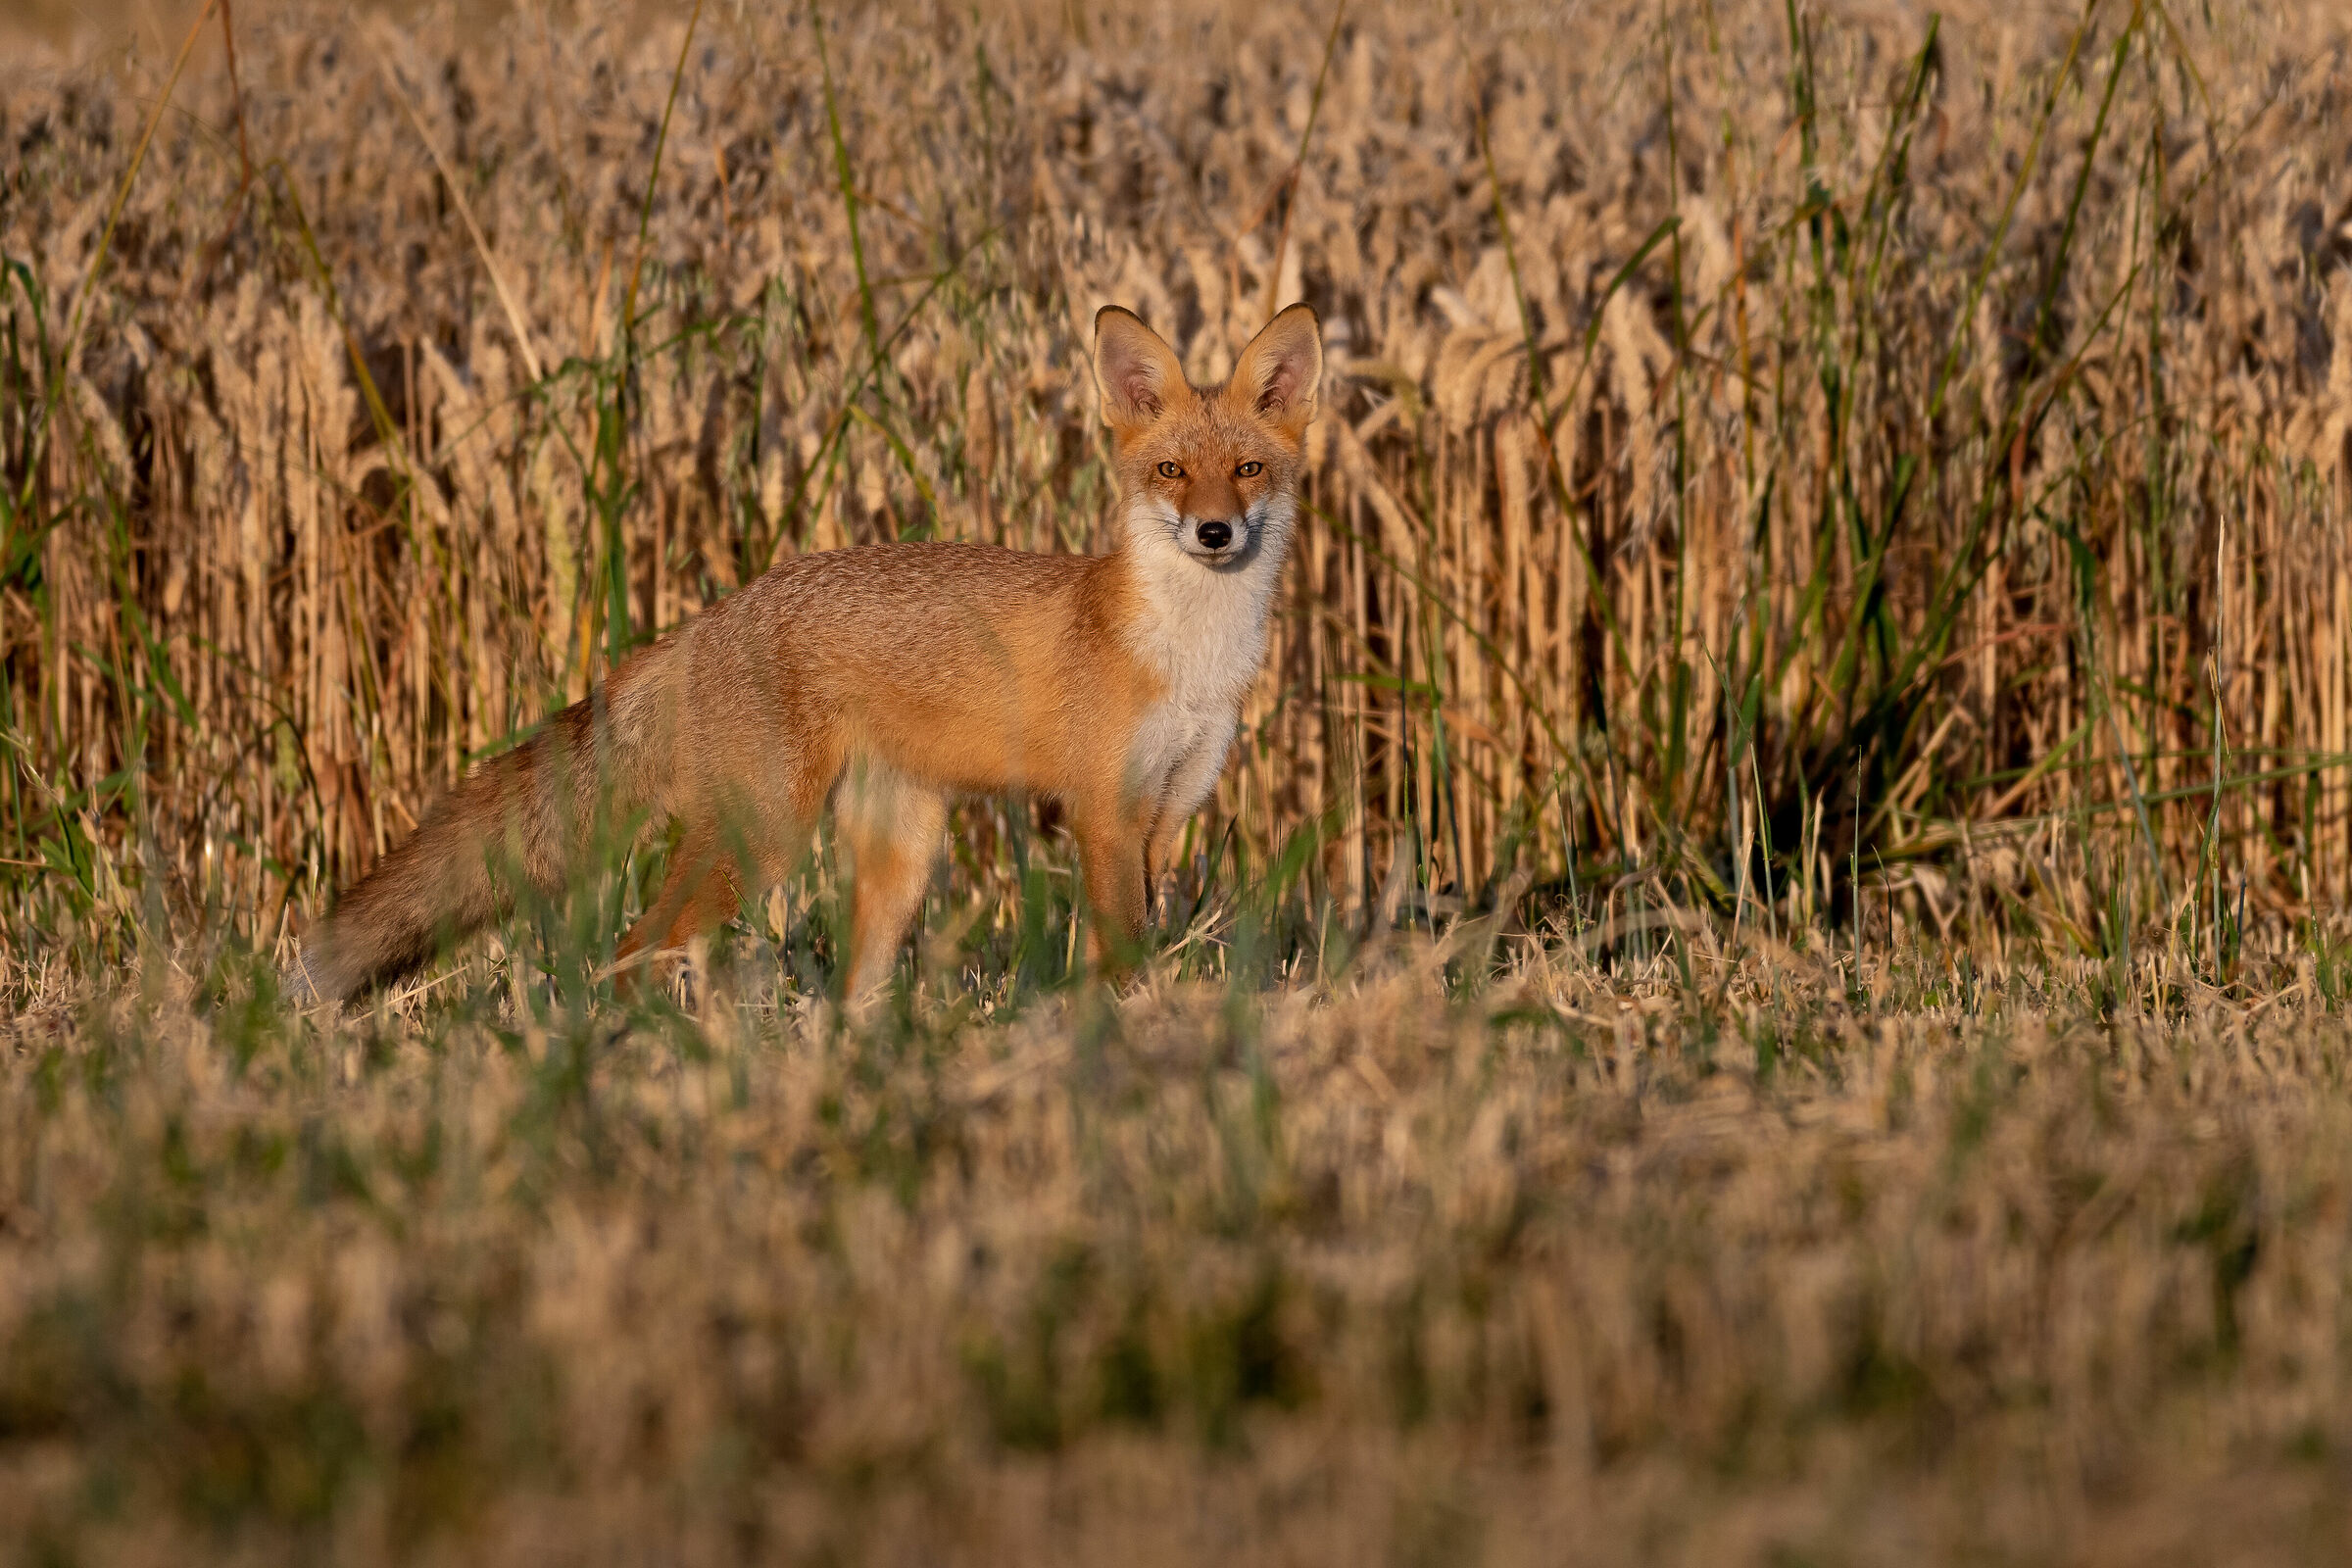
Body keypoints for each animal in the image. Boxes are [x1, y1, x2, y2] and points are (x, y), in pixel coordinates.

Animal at [285, 303, 1323, 1006]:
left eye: (1248, 469)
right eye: (1170, 472)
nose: (1216, 532)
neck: (1189, 659)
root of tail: (710, 617)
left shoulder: (1168, 813)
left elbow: (1149, 928)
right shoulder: (1103, 813)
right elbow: (1118, 949)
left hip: (897, 853)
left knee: (846, 998)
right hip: (764, 838)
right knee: (629, 948)